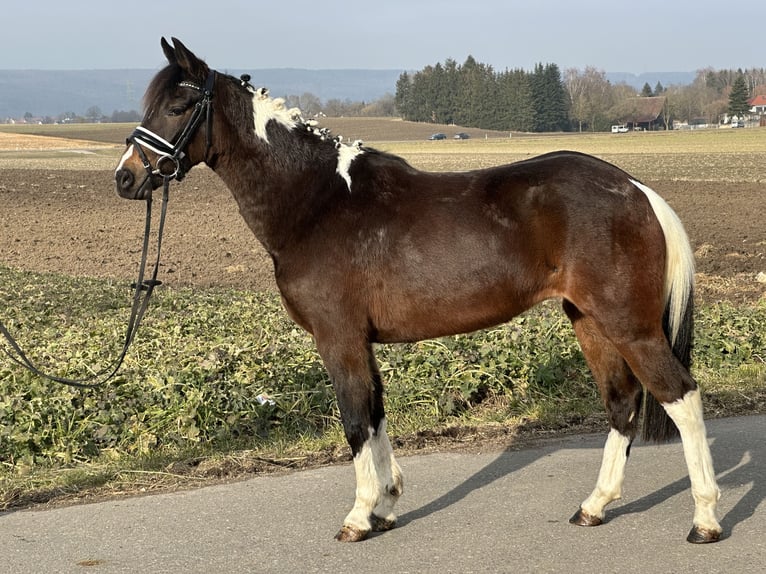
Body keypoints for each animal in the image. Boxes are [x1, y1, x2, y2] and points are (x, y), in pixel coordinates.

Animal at [114, 38, 728, 548]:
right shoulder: (361, 342)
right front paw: (386, 507)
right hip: (590, 321)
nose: (126, 177)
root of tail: (635, 188)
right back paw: (594, 507)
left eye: (177, 106)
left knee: (681, 397)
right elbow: (376, 415)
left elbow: (355, 421)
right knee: (622, 404)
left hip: (630, 325)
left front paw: (359, 518)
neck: (318, 203)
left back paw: (705, 519)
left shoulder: (338, 339)